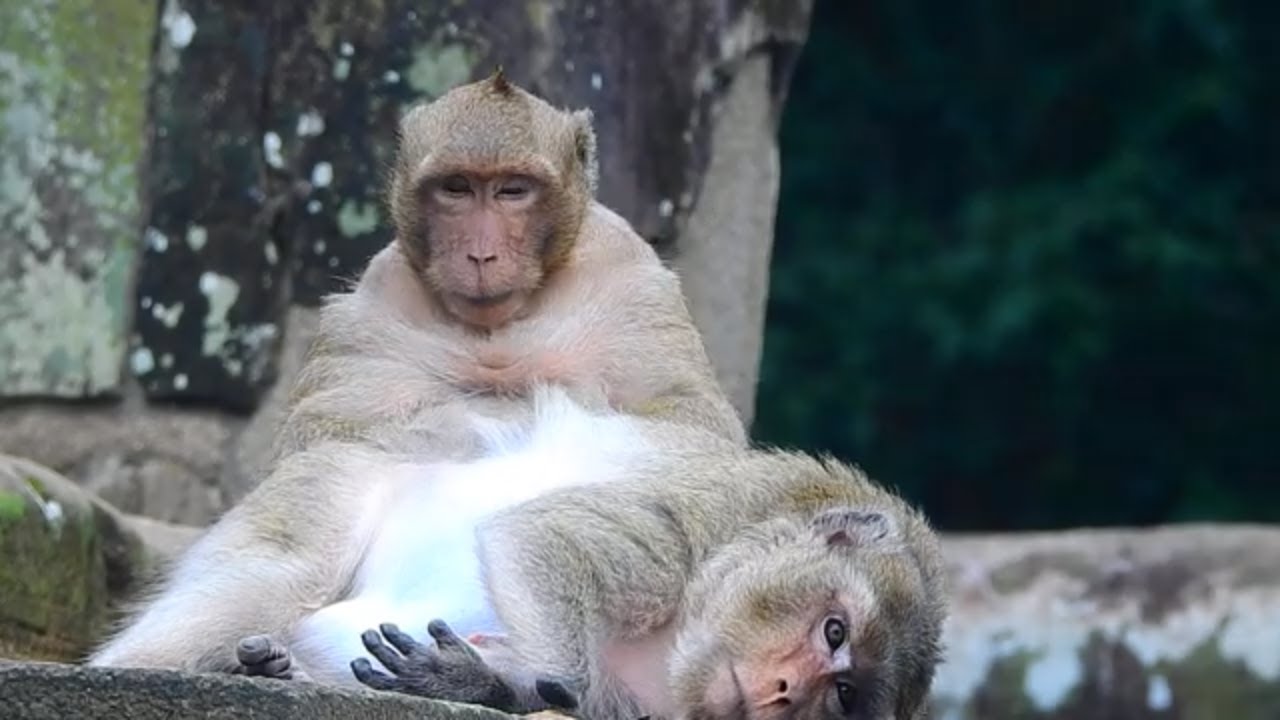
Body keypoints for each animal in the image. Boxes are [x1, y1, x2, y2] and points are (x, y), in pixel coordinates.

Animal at [86, 71, 745, 679]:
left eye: (512, 190)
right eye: (456, 189)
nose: (480, 253)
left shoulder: (634, 283)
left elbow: (693, 431)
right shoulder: (372, 308)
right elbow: (327, 439)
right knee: (296, 541)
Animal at [343, 419, 948, 720]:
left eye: (842, 694)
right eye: (834, 631)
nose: (786, 690)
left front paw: (492, 681)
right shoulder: (712, 517)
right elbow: (547, 536)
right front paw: (517, 676)